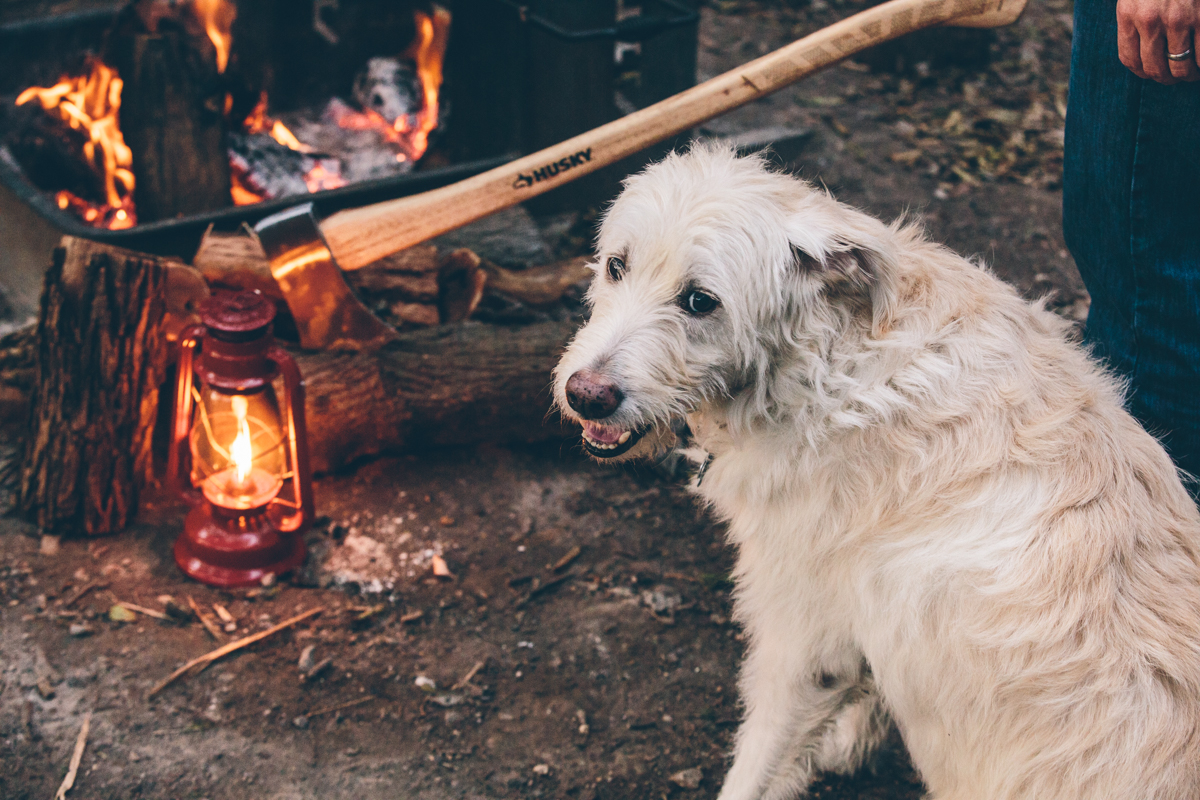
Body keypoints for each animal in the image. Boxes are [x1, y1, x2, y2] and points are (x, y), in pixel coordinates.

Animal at [552, 145, 1200, 800]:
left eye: (699, 301)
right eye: (616, 266)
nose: (586, 396)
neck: (829, 362)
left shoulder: (803, 647)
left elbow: (755, 769)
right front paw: (852, 740)